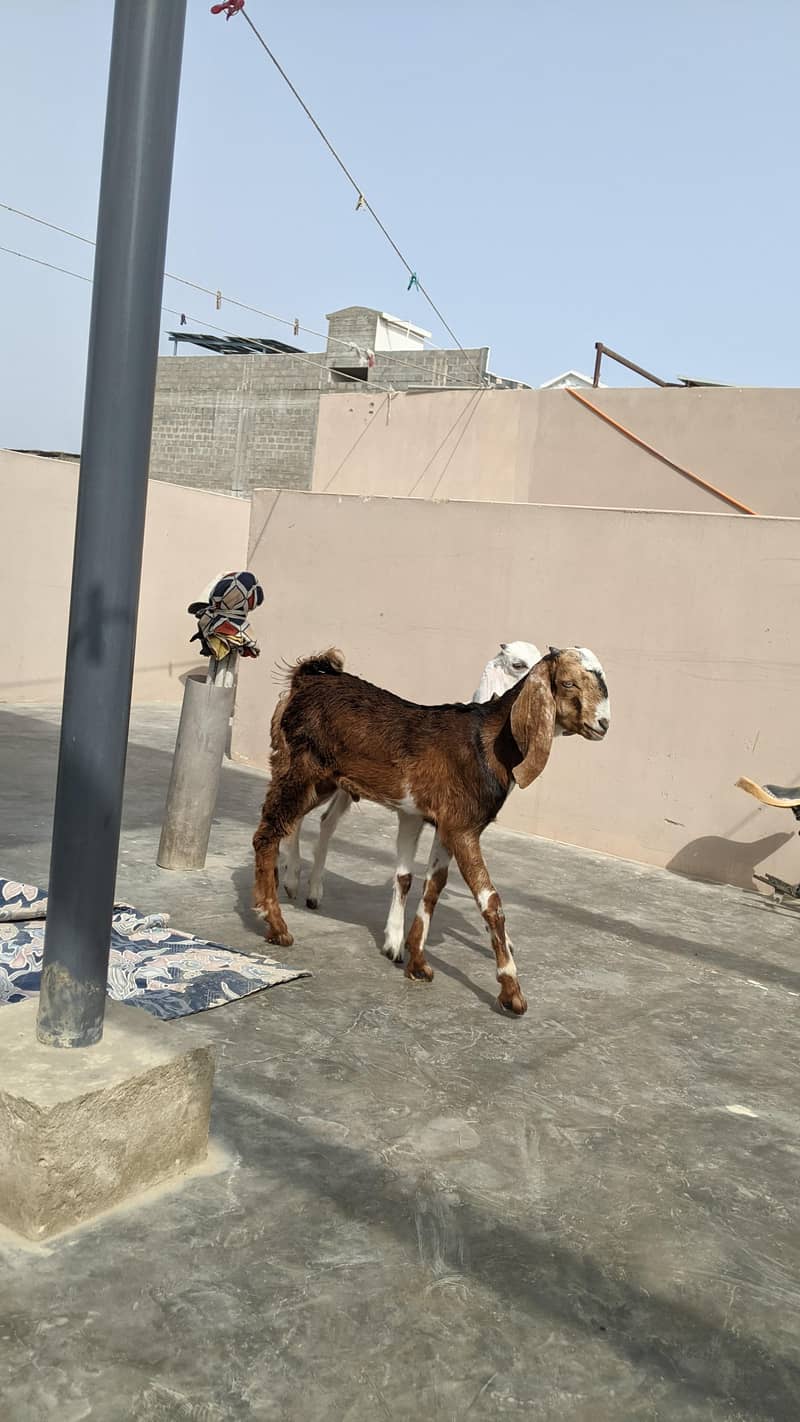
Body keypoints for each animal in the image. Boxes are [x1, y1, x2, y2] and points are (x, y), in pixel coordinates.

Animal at [279, 639, 542, 920]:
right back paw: (291, 879)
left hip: (342, 786)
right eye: (517, 664)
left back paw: (313, 893)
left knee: (326, 821)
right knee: (297, 813)